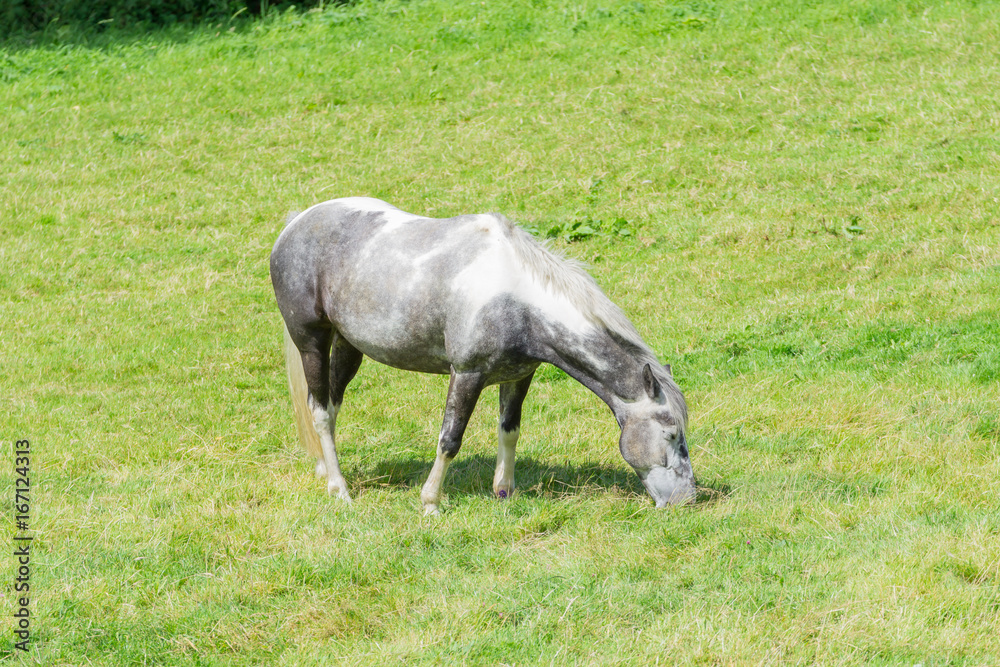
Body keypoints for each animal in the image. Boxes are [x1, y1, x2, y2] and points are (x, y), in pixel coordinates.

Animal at [270, 197, 695, 515]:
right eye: (672, 434)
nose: (688, 499)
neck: (515, 298)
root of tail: (295, 224)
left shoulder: (519, 375)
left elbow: (510, 429)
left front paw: (503, 492)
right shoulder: (467, 374)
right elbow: (449, 439)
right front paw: (430, 502)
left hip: (348, 346)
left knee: (328, 405)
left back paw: (326, 471)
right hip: (312, 342)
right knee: (320, 411)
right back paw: (339, 489)